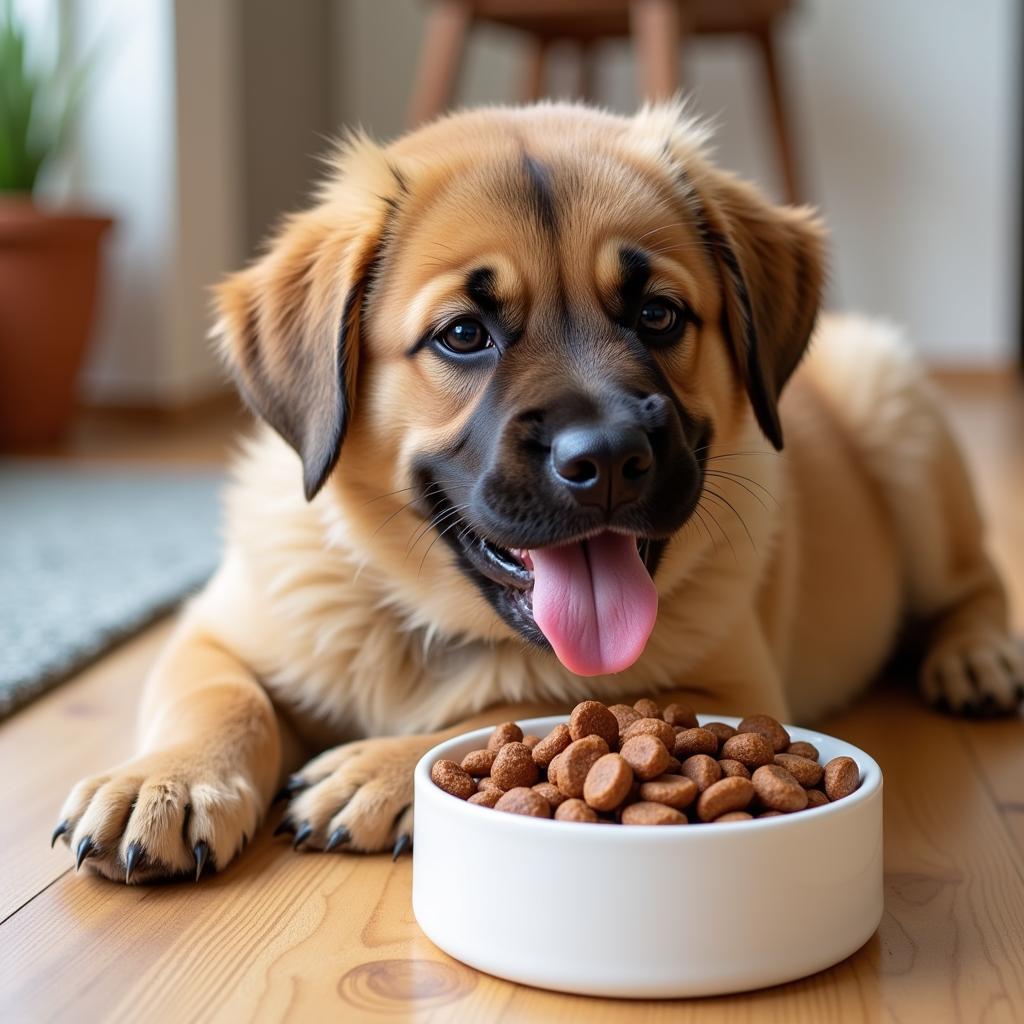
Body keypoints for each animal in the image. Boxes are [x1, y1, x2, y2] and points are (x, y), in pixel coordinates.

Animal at [51, 99, 1019, 880]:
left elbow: (535, 699)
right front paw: (166, 781)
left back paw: (977, 655)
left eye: (658, 315)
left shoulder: (726, 684)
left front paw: (376, 768)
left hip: (899, 417)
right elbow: (220, 698)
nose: (610, 459)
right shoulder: (214, 629)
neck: (436, 626)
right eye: (463, 334)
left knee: (974, 581)